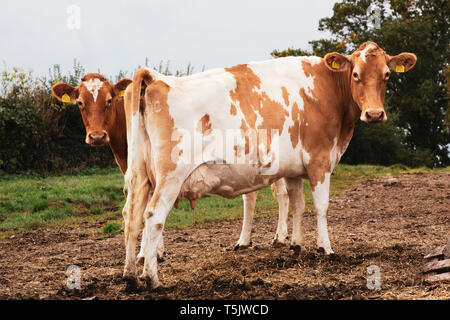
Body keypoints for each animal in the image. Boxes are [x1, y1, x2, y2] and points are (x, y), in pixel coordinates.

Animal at [50, 74, 292, 282]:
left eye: (109, 100)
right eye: (80, 103)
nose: (97, 136)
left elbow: (148, 214)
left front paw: (151, 253)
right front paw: (149, 253)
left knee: (281, 194)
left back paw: (280, 236)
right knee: (250, 197)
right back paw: (244, 241)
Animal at [125, 40, 416, 288]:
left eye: (387, 75)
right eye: (355, 74)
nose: (375, 114)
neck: (327, 90)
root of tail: (158, 80)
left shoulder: (293, 168)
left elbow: (298, 205)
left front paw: (296, 245)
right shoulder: (320, 161)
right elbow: (321, 207)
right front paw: (326, 248)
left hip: (140, 175)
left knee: (132, 217)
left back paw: (130, 277)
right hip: (171, 176)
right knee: (153, 217)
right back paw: (151, 278)